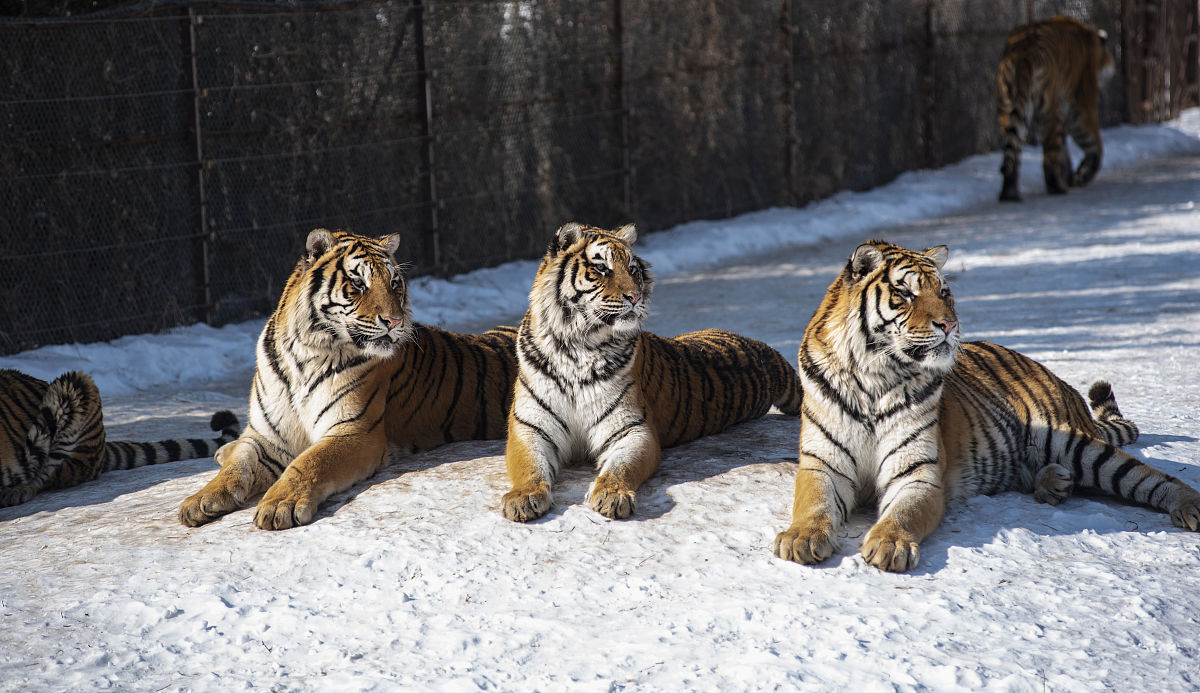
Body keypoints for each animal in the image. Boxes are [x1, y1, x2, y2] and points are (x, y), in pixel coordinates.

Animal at [178, 229, 518, 530]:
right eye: (358, 283)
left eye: (394, 283)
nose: (395, 322)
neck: (304, 354)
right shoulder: (266, 435)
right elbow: (237, 467)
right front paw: (198, 500)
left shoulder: (353, 432)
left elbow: (309, 462)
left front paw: (280, 504)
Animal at [501, 222, 803, 522]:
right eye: (601, 268)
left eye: (633, 269)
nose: (635, 297)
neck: (578, 347)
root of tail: (759, 346)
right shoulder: (530, 427)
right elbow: (529, 466)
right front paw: (522, 497)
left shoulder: (632, 429)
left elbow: (620, 467)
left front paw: (612, 495)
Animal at [773, 240, 1200, 572]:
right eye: (906, 293)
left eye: (944, 292)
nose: (949, 325)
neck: (876, 377)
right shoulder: (823, 464)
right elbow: (813, 504)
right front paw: (799, 538)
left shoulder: (918, 473)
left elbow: (903, 512)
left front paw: (889, 545)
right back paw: (1054, 483)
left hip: (1074, 442)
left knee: (1155, 478)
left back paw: (1189, 508)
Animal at [996, 15, 1115, 201]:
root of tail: (1024, 52)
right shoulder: (1080, 106)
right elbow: (1094, 144)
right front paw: (1080, 177)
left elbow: (1064, 150)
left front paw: (1071, 176)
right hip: (1050, 110)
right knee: (1049, 153)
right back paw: (1057, 188)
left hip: (1008, 109)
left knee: (1013, 152)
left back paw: (1010, 193)